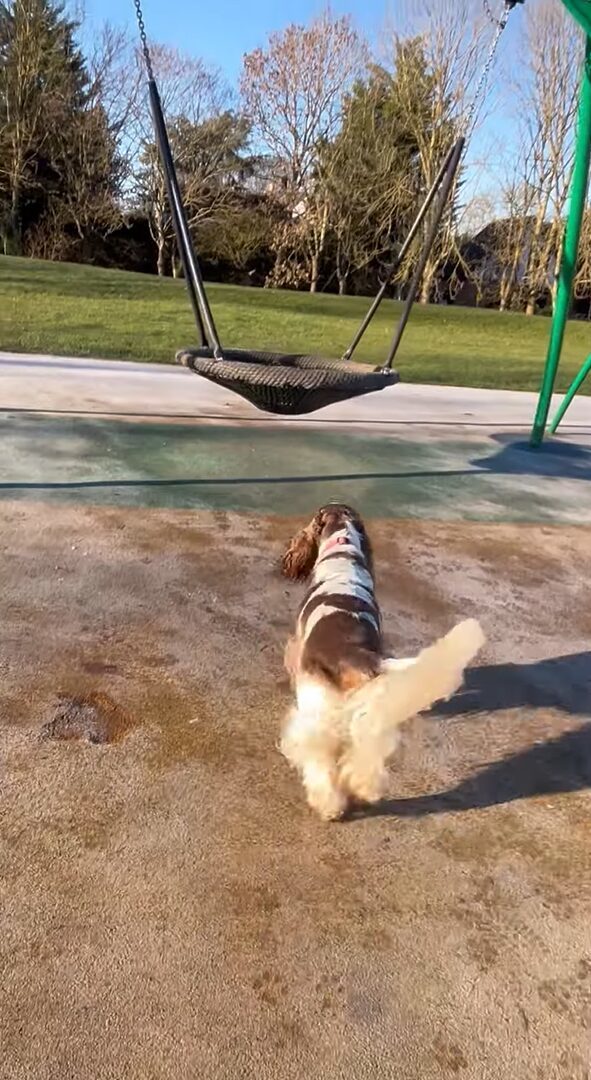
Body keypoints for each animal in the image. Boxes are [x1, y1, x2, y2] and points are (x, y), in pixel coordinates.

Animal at [283, 505, 486, 816]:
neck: (343, 547)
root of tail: (356, 652)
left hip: (319, 707)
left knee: (319, 757)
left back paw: (328, 805)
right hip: (371, 714)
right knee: (366, 757)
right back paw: (361, 790)